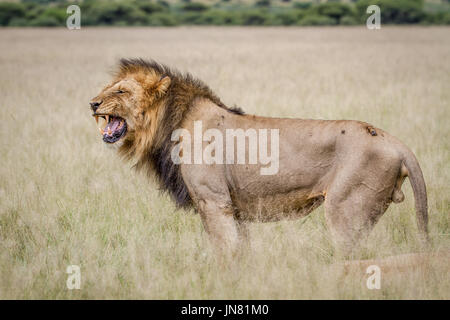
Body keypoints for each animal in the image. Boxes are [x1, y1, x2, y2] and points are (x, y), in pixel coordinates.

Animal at [89, 59, 428, 255]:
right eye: (108, 88)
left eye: (120, 91)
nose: (93, 103)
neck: (172, 124)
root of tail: (399, 145)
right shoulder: (234, 208)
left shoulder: (214, 202)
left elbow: (224, 252)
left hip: (347, 210)